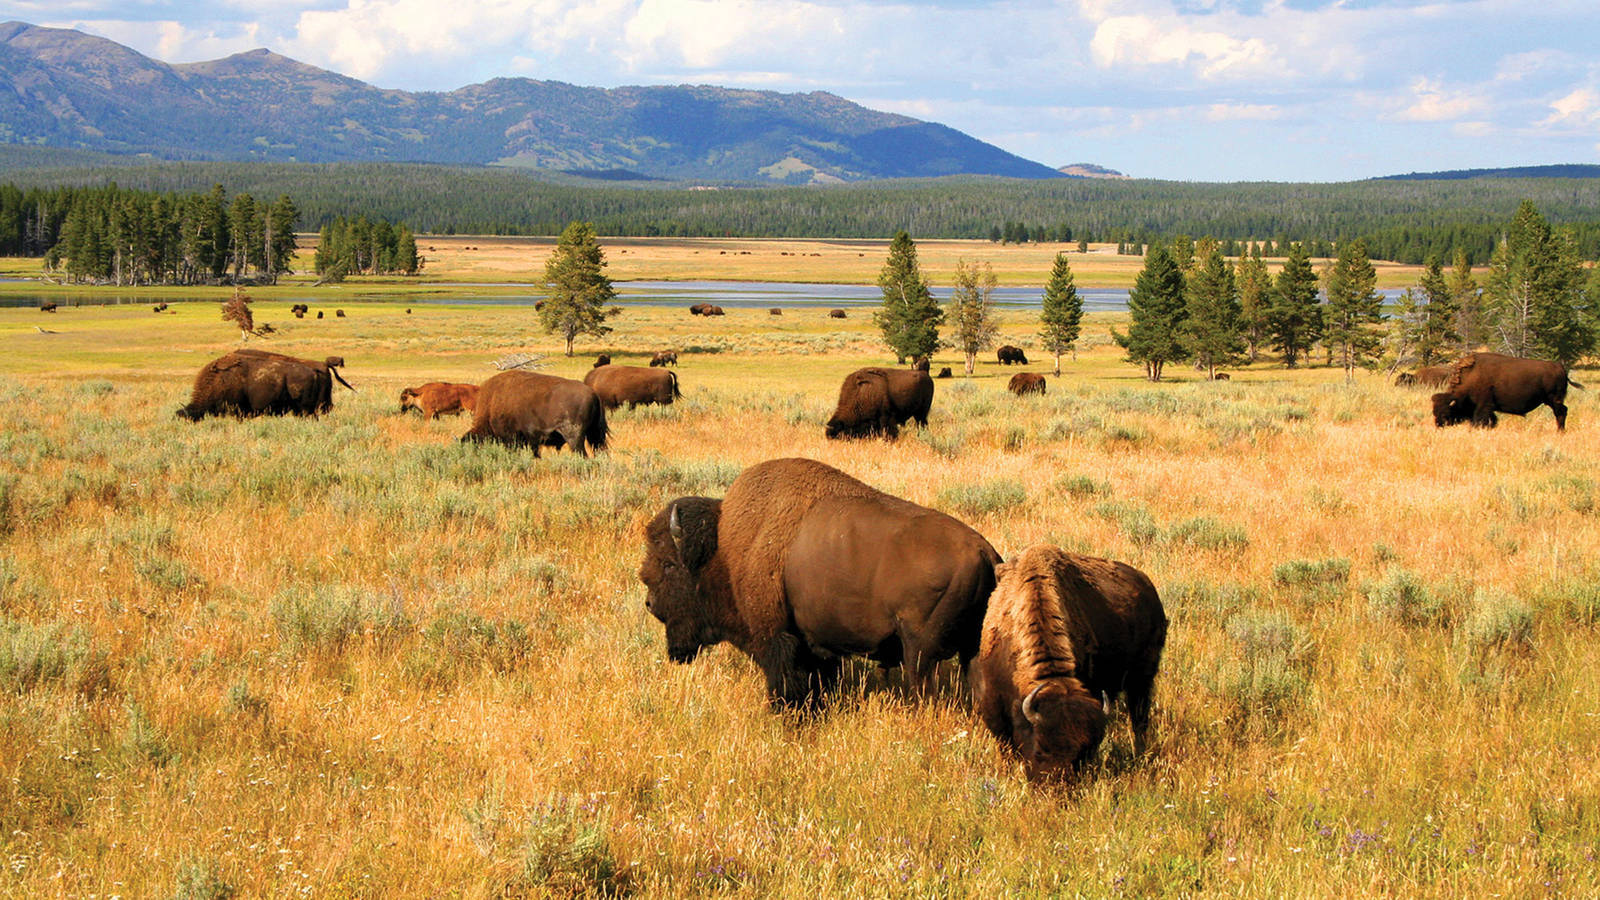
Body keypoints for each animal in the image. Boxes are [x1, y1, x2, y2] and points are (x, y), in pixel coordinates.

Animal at [640, 458, 998, 704]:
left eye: (669, 564)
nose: (650, 603)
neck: (724, 547)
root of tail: (985, 552)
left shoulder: (777, 637)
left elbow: (787, 681)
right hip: (972, 649)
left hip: (921, 653)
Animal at [966, 538, 1171, 778]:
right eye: (1041, 749)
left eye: (1082, 754)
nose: (1054, 783)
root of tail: (1149, 590)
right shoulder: (991, 700)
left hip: (1142, 678)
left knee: (1139, 718)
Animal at [1433, 350, 1580, 432]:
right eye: (1434, 411)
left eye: (1446, 412)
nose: (1439, 425)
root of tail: (1560, 367)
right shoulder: (1489, 409)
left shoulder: (1483, 406)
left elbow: (1480, 420)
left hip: (1554, 400)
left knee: (1561, 412)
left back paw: (1560, 431)